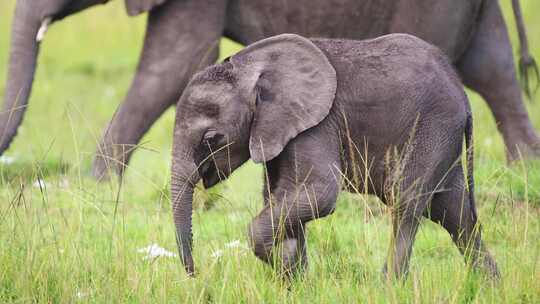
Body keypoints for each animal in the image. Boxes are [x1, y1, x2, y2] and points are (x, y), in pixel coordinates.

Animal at [171, 32, 500, 278]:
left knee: (406, 199)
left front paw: (286, 268)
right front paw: (295, 277)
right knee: (452, 210)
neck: (250, 66)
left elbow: (320, 193)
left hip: (433, 125)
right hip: (443, 135)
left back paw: (390, 284)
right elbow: (281, 195)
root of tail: (462, 93)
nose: (196, 275)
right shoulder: (279, 129)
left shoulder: (317, 123)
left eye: (211, 138)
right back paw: (487, 284)